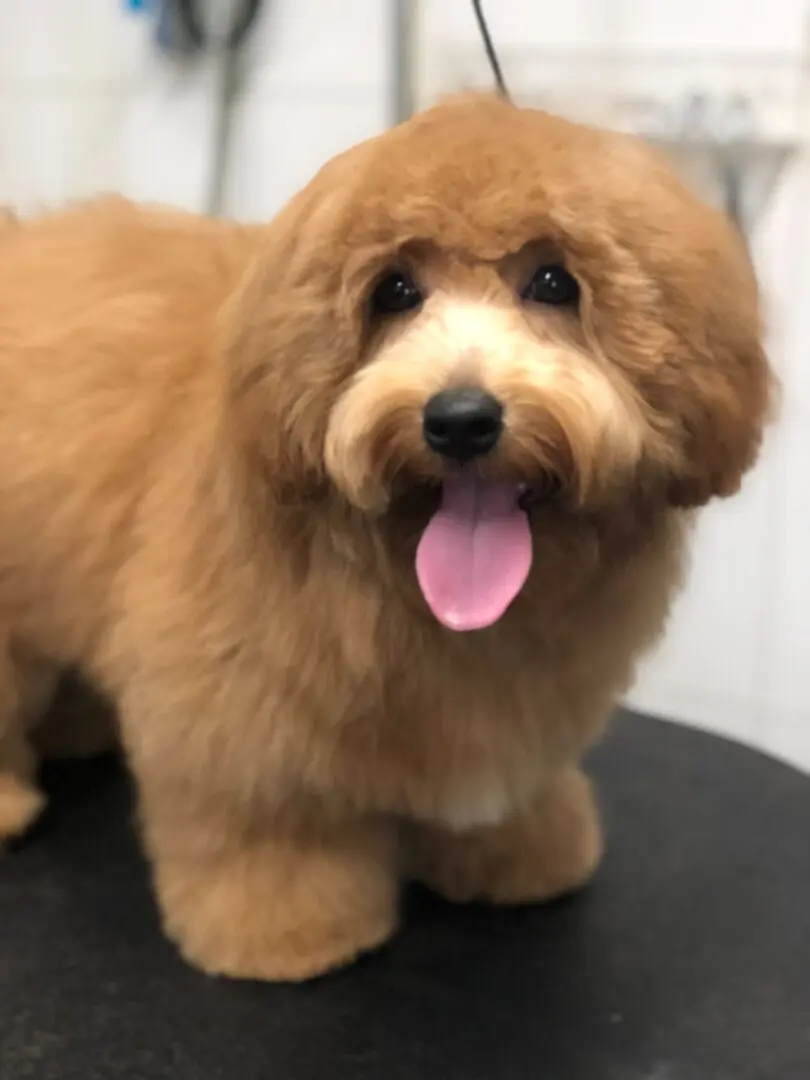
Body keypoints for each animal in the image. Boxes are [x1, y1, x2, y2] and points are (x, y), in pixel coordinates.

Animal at [0, 97, 768, 984]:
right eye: (394, 290)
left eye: (554, 282)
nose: (460, 420)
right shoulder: (237, 717)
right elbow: (266, 825)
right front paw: (285, 930)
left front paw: (521, 852)